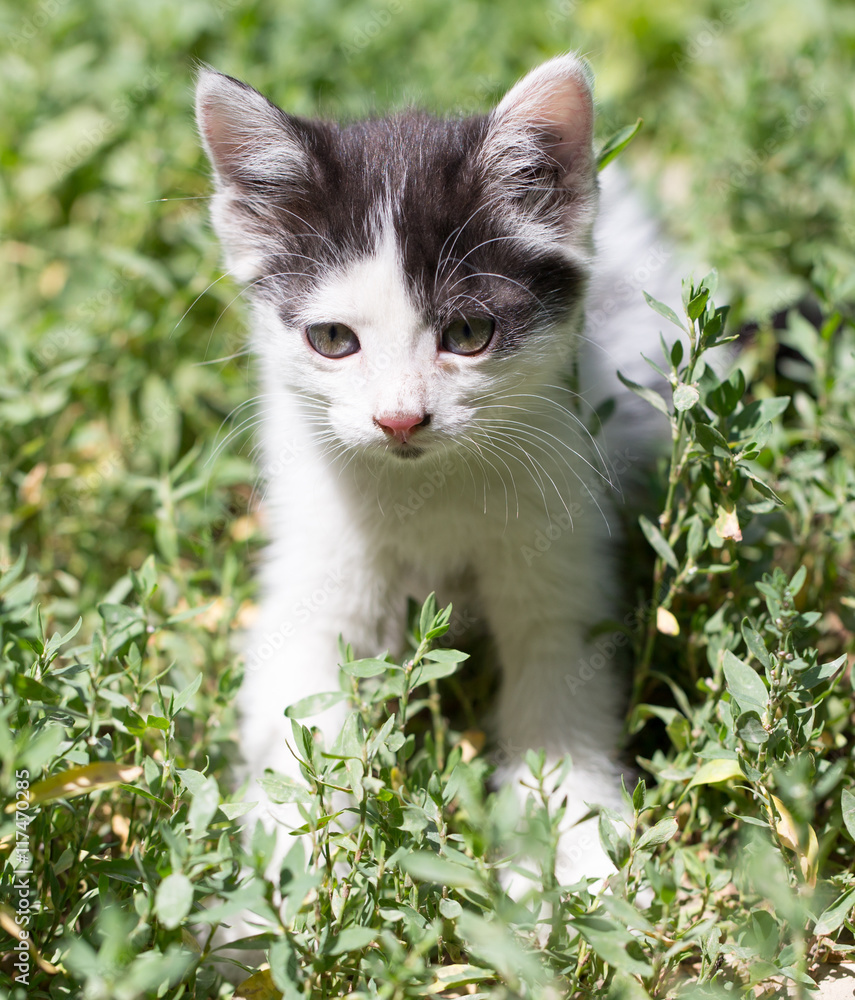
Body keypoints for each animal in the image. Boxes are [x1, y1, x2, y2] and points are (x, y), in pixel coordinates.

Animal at [196, 52, 676, 892]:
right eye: (332, 339)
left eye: (468, 331)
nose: (399, 420)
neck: (429, 489)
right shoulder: (317, 565)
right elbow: (303, 703)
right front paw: (284, 877)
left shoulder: (562, 549)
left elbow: (558, 687)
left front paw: (573, 849)